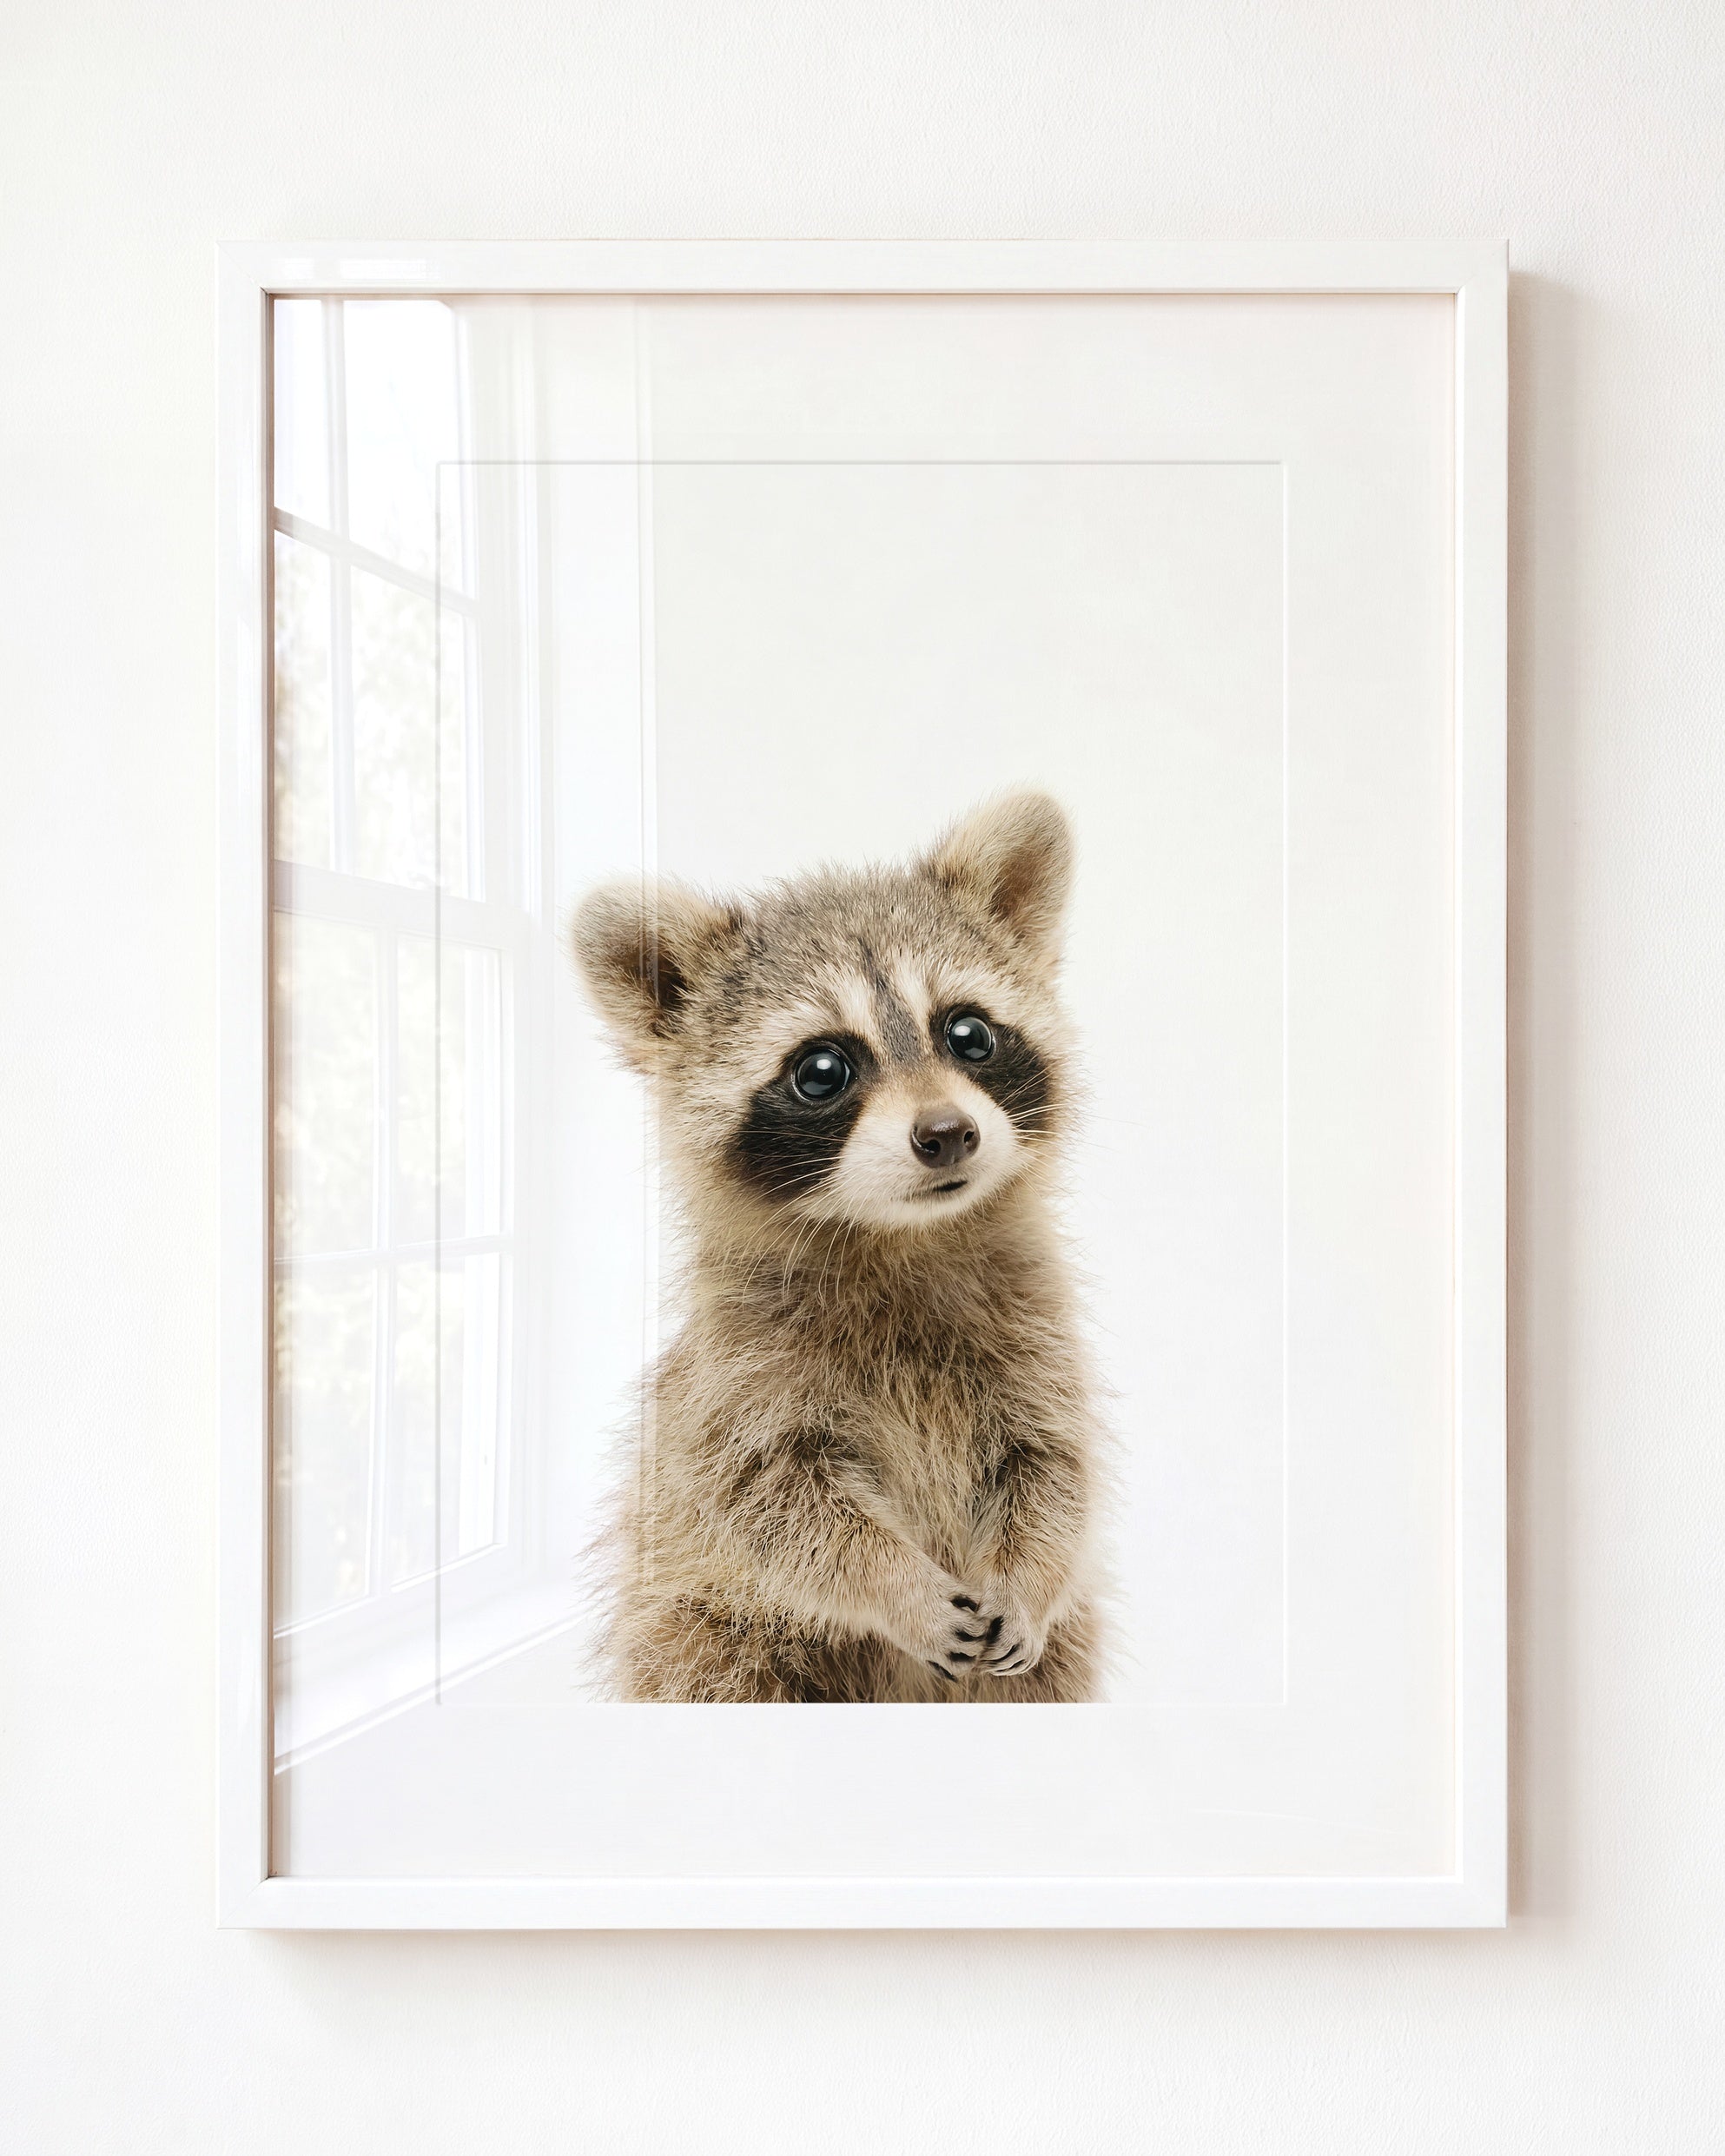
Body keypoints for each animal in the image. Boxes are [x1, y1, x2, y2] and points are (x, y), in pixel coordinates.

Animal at [570, 790, 1106, 1702]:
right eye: (822, 1070)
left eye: (969, 1034)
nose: (947, 1134)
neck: (903, 1238)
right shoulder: (735, 1381)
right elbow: (773, 1507)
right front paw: (896, 1586)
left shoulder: (1038, 1337)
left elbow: (1054, 1469)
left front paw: (1029, 1578)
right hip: (703, 1632)